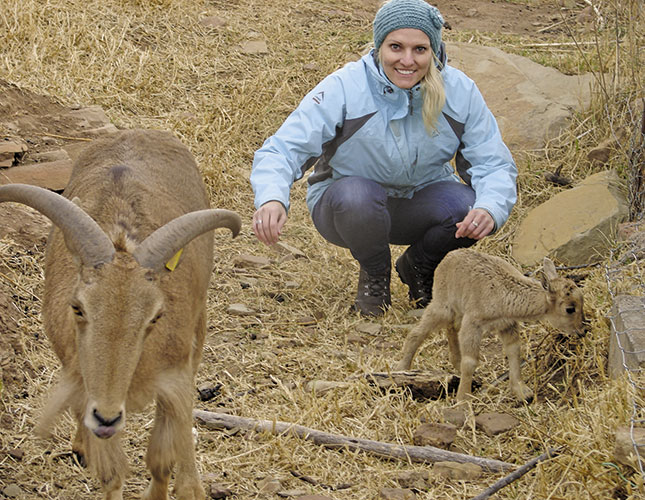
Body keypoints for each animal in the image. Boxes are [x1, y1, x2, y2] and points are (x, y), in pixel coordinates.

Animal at [394, 248, 588, 404]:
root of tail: (447, 258)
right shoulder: (473, 323)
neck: (502, 293)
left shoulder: (507, 325)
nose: (582, 330)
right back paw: (402, 370)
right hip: (442, 305)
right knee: (417, 332)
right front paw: (463, 400)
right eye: (570, 309)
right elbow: (470, 361)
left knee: (451, 328)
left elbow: (514, 351)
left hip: (457, 312)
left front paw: (522, 392)